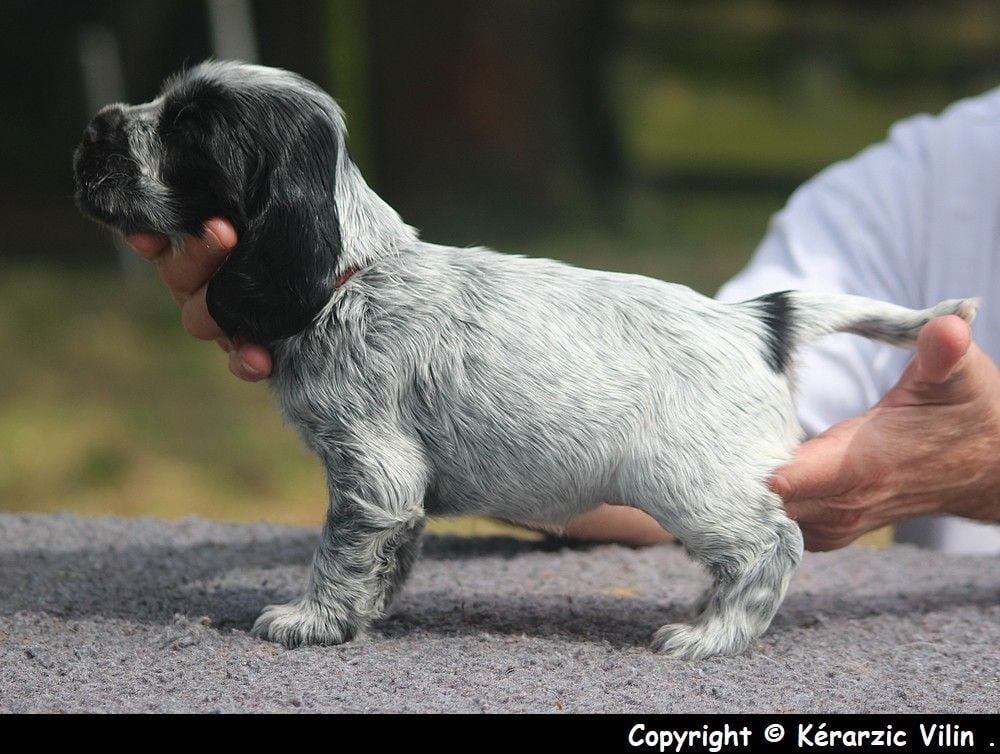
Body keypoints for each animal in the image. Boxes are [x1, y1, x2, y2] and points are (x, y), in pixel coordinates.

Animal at [74, 61, 980, 656]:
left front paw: (313, 620)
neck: (353, 275)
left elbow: (341, 550)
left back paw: (712, 634)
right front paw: (364, 615)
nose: (95, 124)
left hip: (688, 483)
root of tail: (753, 320)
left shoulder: (370, 467)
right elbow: (387, 555)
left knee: (771, 544)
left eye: (190, 130)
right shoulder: (390, 488)